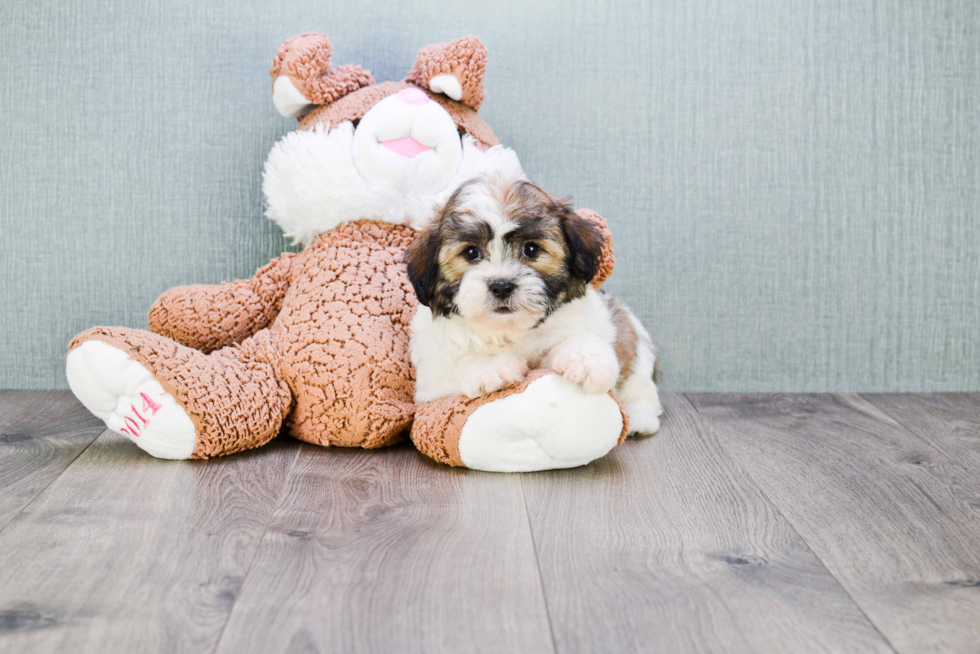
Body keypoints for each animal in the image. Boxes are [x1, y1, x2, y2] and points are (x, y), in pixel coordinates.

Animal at [406, 177, 668, 438]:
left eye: (531, 249)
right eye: (471, 253)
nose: (502, 286)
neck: (510, 330)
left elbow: (581, 337)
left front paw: (583, 362)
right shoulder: (431, 381)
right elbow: (456, 366)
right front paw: (490, 367)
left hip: (636, 352)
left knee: (641, 389)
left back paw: (639, 419)